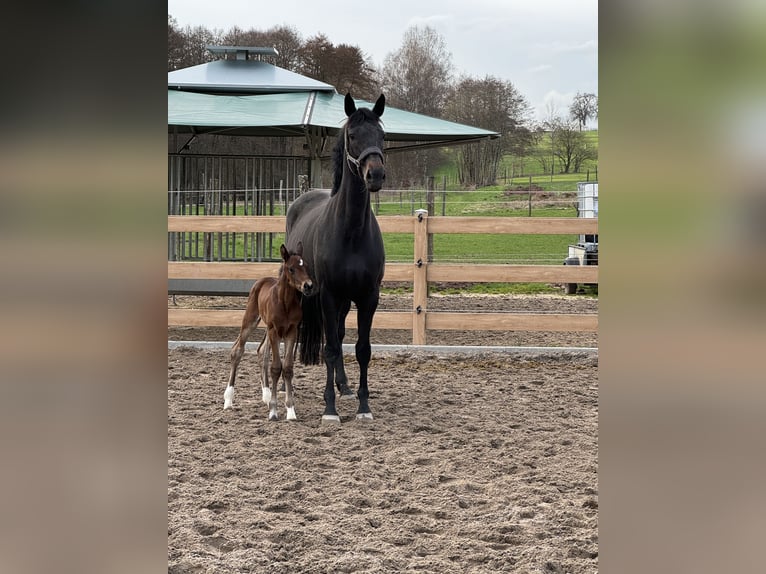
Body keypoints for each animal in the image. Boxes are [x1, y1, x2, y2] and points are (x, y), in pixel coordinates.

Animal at [224, 243, 314, 424]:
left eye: (306, 266)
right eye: (291, 269)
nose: (308, 286)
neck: (286, 303)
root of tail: (262, 280)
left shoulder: (291, 332)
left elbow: (287, 368)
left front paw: (290, 411)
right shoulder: (274, 330)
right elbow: (276, 367)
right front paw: (273, 411)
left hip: (268, 329)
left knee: (260, 352)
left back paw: (265, 395)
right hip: (251, 320)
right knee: (237, 350)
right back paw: (228, 400)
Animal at [286, 94, 388, 426]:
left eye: (383, 135)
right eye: (352, 136)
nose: (375, 175)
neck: (351, 231)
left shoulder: (368, 296)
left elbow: (362, 349)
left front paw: (363, 405)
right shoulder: (328, 295)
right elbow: (329, 349)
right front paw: (329, 409)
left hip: (345, 301)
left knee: (342, 335)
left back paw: (344, 386)